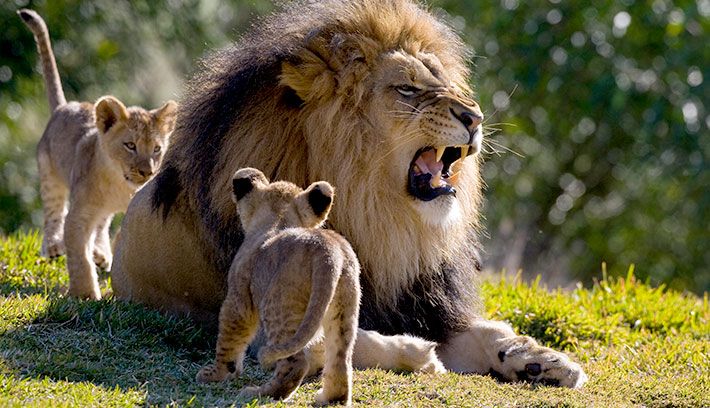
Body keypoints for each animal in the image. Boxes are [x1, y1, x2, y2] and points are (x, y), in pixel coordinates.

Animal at [112, 0, 588, 388]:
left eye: (442, 80)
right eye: (408, 88)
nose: (475, 117)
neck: (379, 221)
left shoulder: (419, 303)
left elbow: (487, 331)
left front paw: (539, 358)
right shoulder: (265, 329)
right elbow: (351, 338)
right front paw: (418, 354)